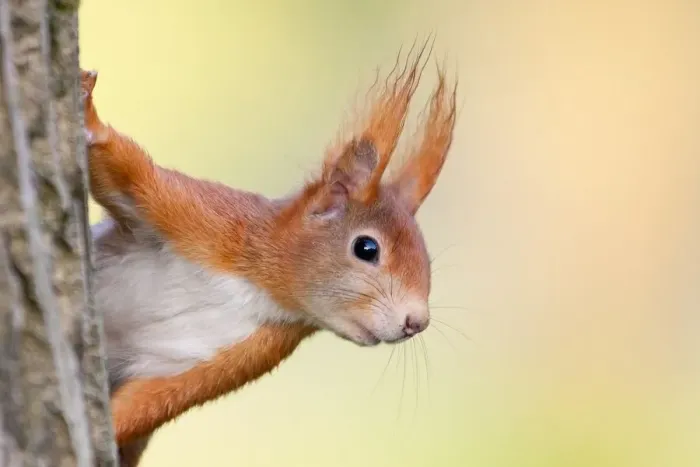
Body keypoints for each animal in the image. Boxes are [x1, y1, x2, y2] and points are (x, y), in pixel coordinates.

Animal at [81, 40, 457, 467]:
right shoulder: (203, 220)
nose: (417, 322)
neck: (257, 287)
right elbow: (129, 175)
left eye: (427, 261)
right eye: (366, 248)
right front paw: (88, 114)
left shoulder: (236, 355)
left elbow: (146, 404)